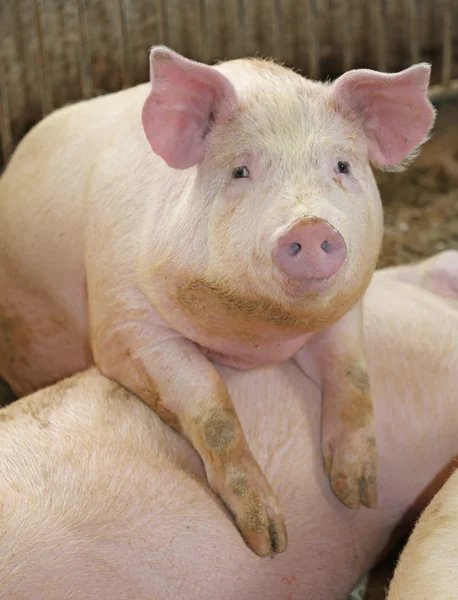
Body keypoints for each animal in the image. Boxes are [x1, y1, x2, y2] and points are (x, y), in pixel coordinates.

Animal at [0, 44, 436, 556]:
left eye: (342, 166)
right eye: (241, 170)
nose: (310, 227)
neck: (259, 338)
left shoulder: (346, 311)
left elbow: (353, 376)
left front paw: (358, 494)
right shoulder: (124, 324)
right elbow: (211, 410)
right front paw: (269, 541)